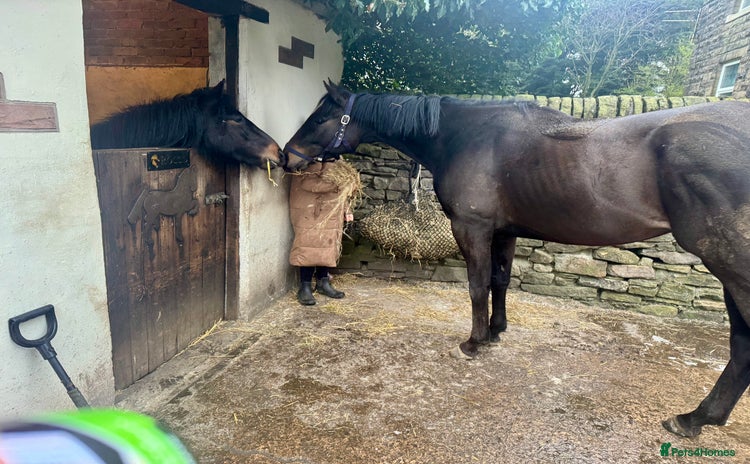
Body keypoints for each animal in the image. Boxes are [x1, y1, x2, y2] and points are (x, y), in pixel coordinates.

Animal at [282, 81, 750, 438]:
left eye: (320, 118)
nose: (287, 157)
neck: (466, 137)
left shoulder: (472, 228)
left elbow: (477, 285)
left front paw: (473, 342)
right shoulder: (504, 232)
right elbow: (500, 281)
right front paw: (495, 331)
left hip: (730, 266)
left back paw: (696, 417)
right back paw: (699, 418)